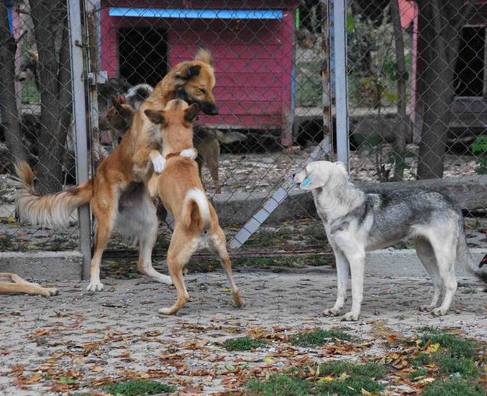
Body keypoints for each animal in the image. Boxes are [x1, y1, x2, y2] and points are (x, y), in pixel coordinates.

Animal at [145, 100, 244, 316]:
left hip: (173, 259)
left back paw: (168, 310)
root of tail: (201, 222)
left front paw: (158, 161)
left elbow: (154, 153)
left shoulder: (151, 188)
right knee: (234, 285)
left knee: (184, 295)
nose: (177, 98)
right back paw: (238, 301)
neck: (177, 154)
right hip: (223, 255)